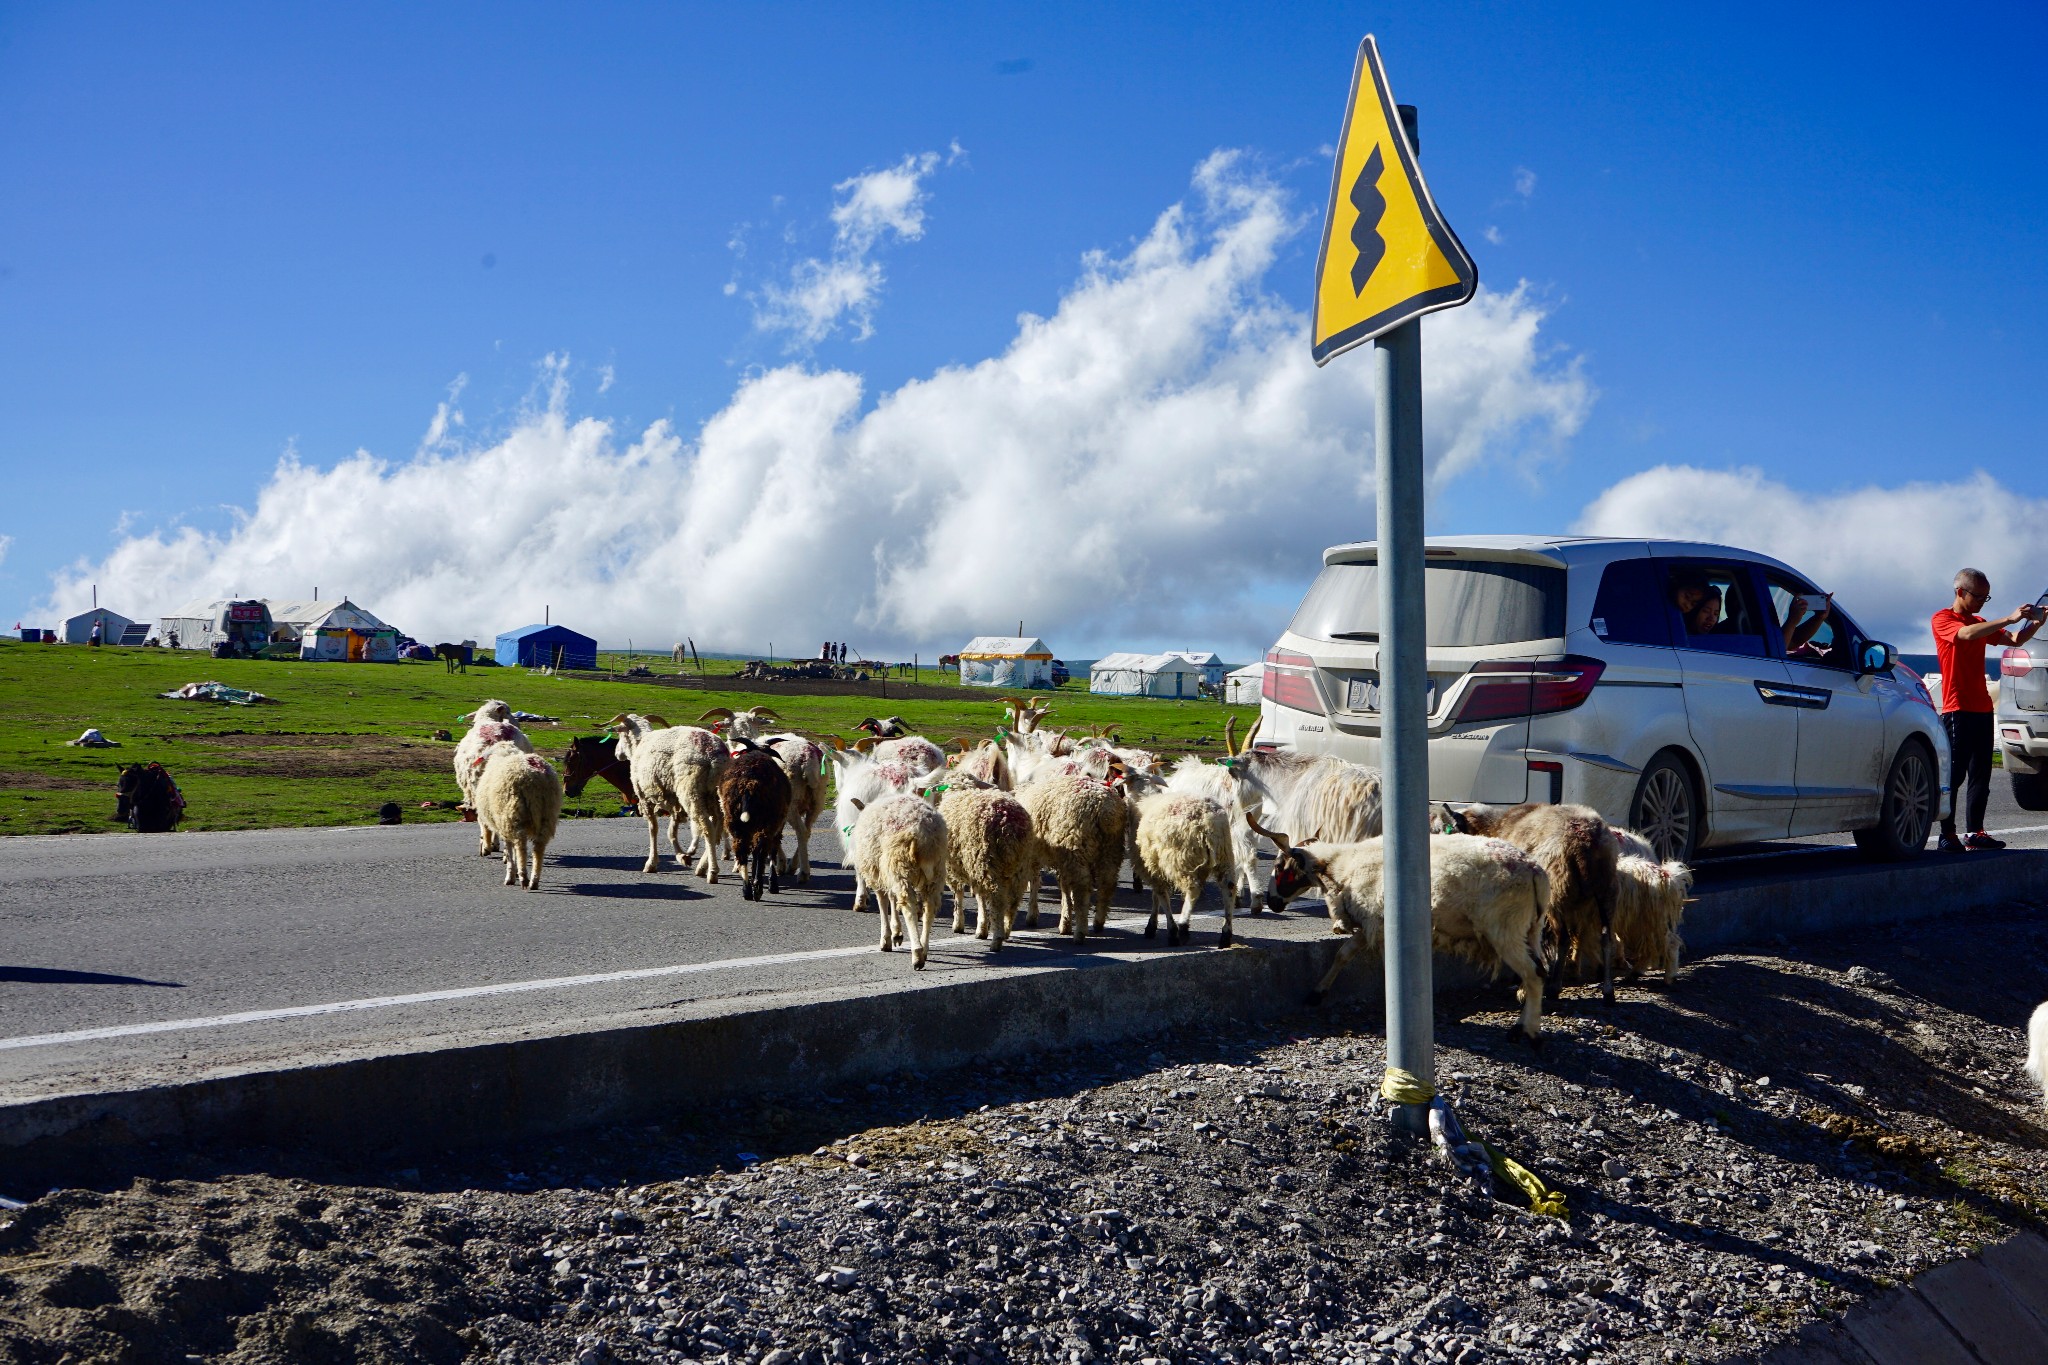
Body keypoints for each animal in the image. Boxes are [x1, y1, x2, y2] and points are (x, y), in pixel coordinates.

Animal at [466, 740, 557, 892]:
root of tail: (535, 779)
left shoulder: (503, 821)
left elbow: (509, 849)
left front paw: (511, 875)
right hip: (548, 814)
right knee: (538, 847)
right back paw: (534, 881)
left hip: (512, 813)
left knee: (520, 846)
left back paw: (523, 877)